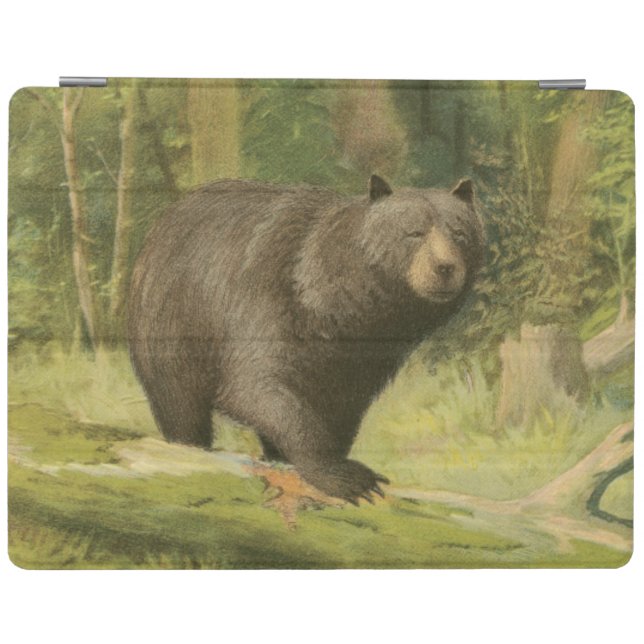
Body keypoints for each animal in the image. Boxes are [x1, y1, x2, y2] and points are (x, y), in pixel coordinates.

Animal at [127, 175, 485, 504]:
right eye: (413, 232)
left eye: (460, 234)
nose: (444, 267)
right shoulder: (266, 301)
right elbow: (257, 387)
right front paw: (347, 476)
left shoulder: (365, 358)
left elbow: (342, 406)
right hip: (172, 321)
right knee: (180, 403)